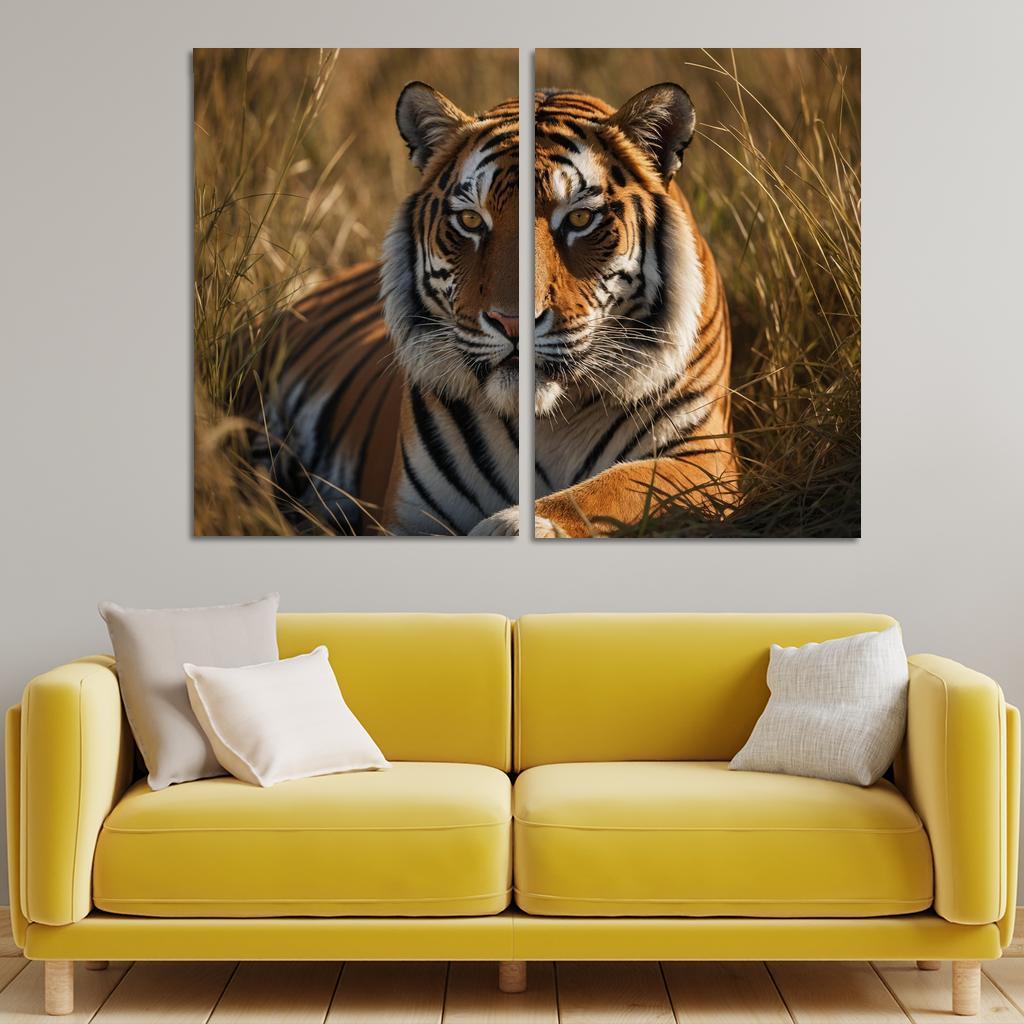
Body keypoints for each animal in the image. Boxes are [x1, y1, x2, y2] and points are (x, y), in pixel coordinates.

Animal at [470, 84, 737, 538]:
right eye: (472, 222)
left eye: (579, 218)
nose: (512, 322)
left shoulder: (705, 456)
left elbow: (613, 486)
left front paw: (512, 524)